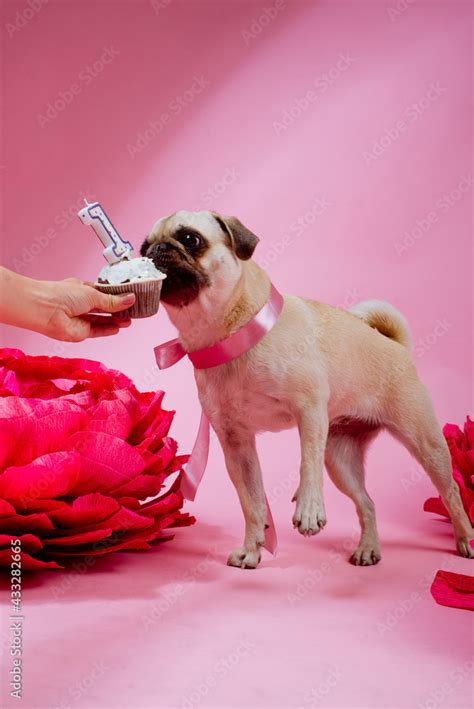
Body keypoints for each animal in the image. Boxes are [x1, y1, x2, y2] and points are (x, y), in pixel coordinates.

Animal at [140, 210, 470, 568]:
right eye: (143, 246)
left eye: (190, 239)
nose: (155, 249)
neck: (230, 334)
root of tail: (394, 345)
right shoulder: (236, 444)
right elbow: (252, 502)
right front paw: (252, 548)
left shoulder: (309, 410)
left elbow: (306, 463)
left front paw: (309, 508)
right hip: (340, 460)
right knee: (367, 502)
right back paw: (368, 548)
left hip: (424, 442)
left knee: (451, 492)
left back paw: (465, 539)